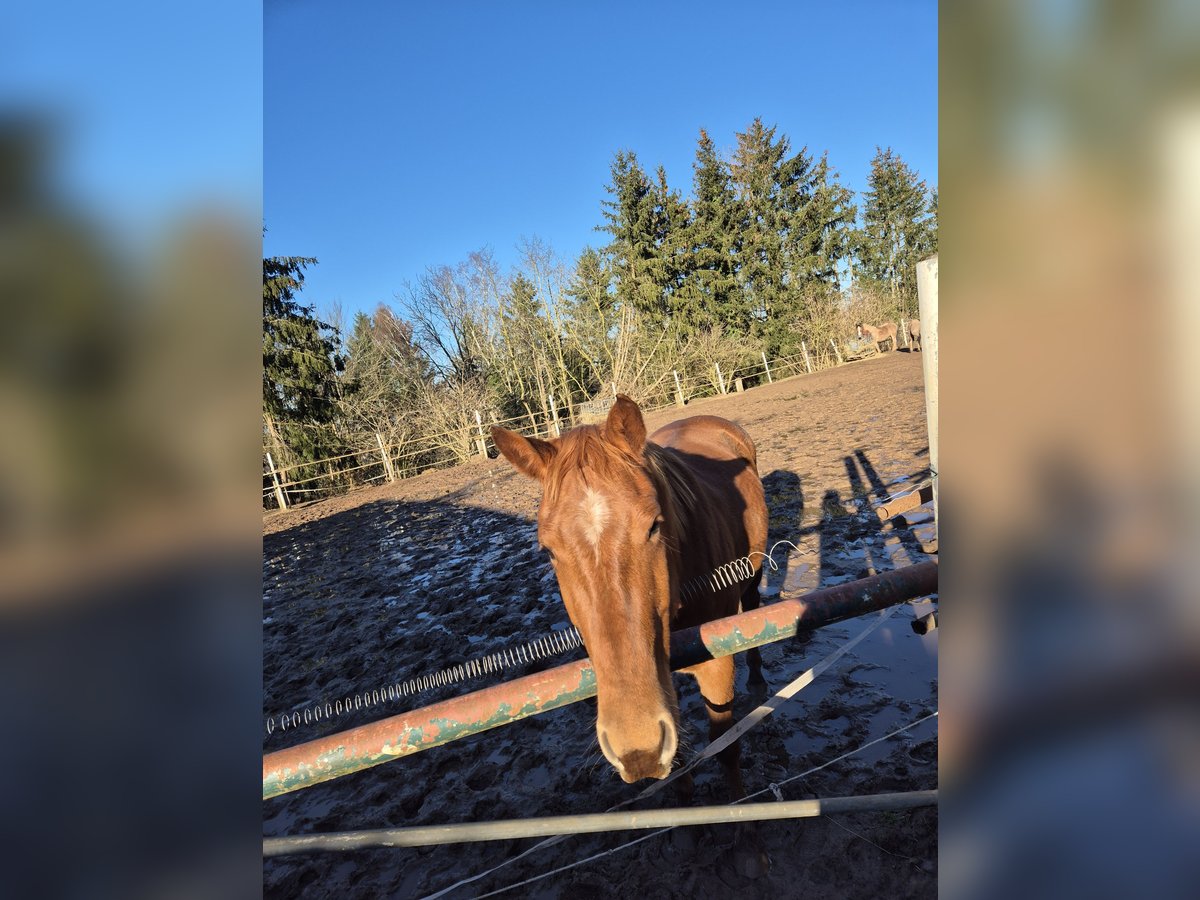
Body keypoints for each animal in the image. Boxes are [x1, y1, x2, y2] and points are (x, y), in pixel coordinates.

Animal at [489, 398, 763, 801]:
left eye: (654, 526)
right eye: (548, 550)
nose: (637, 749)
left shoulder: (718, 666)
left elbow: (726, 746)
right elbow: (679, 766)